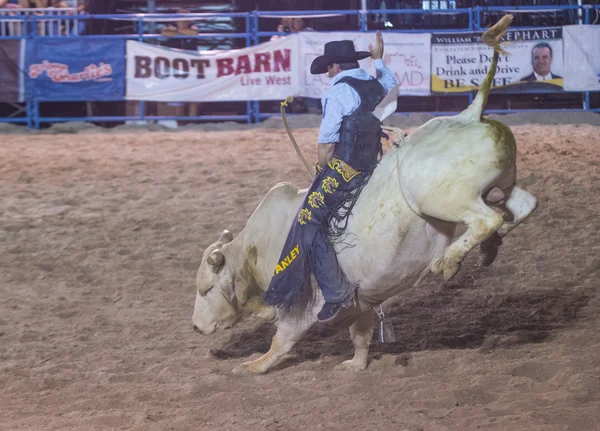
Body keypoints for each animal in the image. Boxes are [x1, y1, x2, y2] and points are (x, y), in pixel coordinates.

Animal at [191, 16, 536, 374]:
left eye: (206, 289)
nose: (196, 327)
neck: (256, 249)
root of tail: (469, 115)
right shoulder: (363, 300)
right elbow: (361, 332)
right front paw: (355, 364)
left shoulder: (299, 304)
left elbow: (282, 339)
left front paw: (253, 366)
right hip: (502, 183)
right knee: (522, 206)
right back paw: (490, 246)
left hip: (445, 200)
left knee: (486, 219)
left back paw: (449, 260)